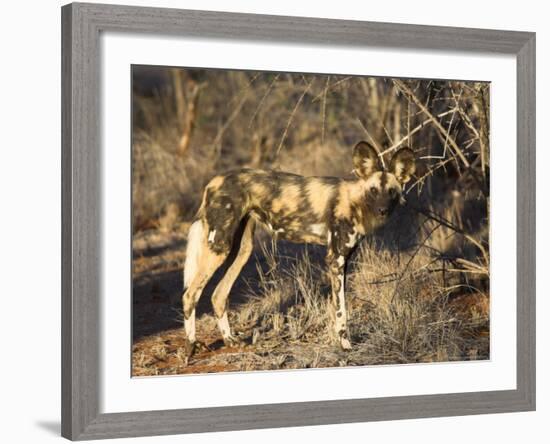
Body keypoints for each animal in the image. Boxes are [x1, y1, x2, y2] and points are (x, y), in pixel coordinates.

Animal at [183, 142, 416, 354]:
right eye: (373, 190)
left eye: (392, 192)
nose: (382, 210)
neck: (355, 201)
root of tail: (214, 181)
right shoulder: (336, 260)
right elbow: (341, 310)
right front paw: (345, 345)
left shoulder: (344, 260)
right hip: (219, 248)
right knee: (190, 294)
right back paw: (192, 345)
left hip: (241, 251)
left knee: (218, 295)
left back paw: (230, 340)